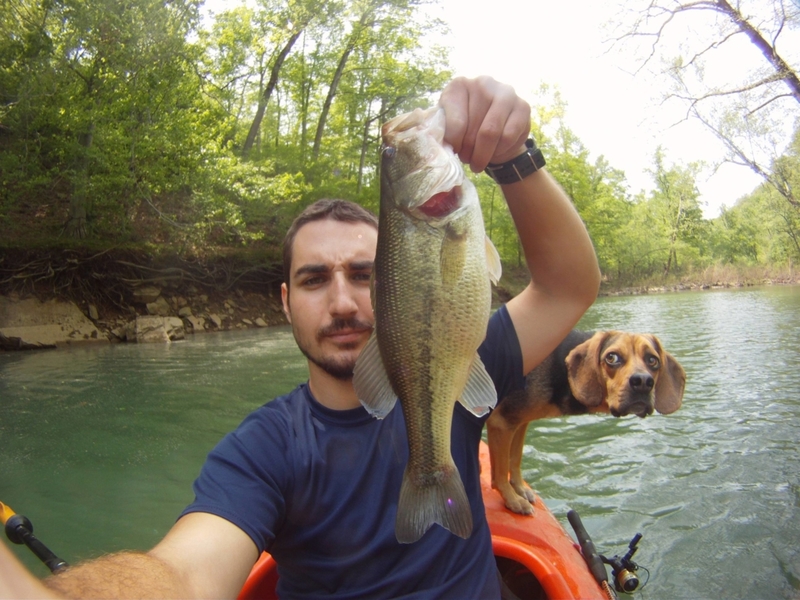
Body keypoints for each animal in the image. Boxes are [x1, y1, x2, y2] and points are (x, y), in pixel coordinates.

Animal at [484, 330, 684, 512]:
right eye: (612, 357)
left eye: (653, 360)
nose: (642, 382)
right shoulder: (502, 422)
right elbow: (500, 472)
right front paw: (512, 500)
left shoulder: (519, 422)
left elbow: (514, 459)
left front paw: (519, 489)